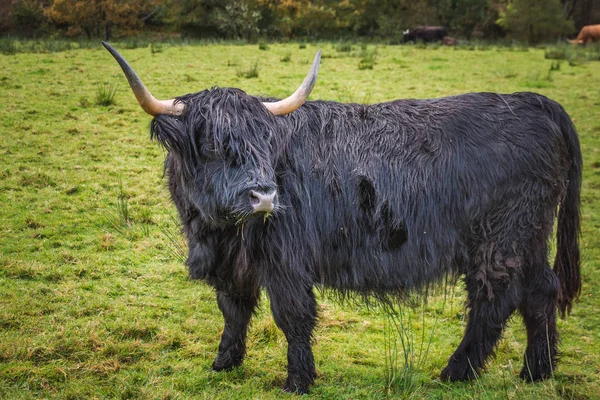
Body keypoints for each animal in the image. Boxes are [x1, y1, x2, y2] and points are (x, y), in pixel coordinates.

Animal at [103, 43, 580, 394]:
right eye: (211, 144)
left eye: (264, 142)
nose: (264, 195)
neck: (217, 232)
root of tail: (536, 103)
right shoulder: (234, 263)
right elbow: (232, 310)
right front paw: (224, 363)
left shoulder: (287, 261)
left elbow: (292, 317)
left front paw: (297, 381)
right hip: (530, 235)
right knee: (540, 290)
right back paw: (536, 371)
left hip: (501, 236)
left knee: (493, 298)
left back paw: (456, 372)